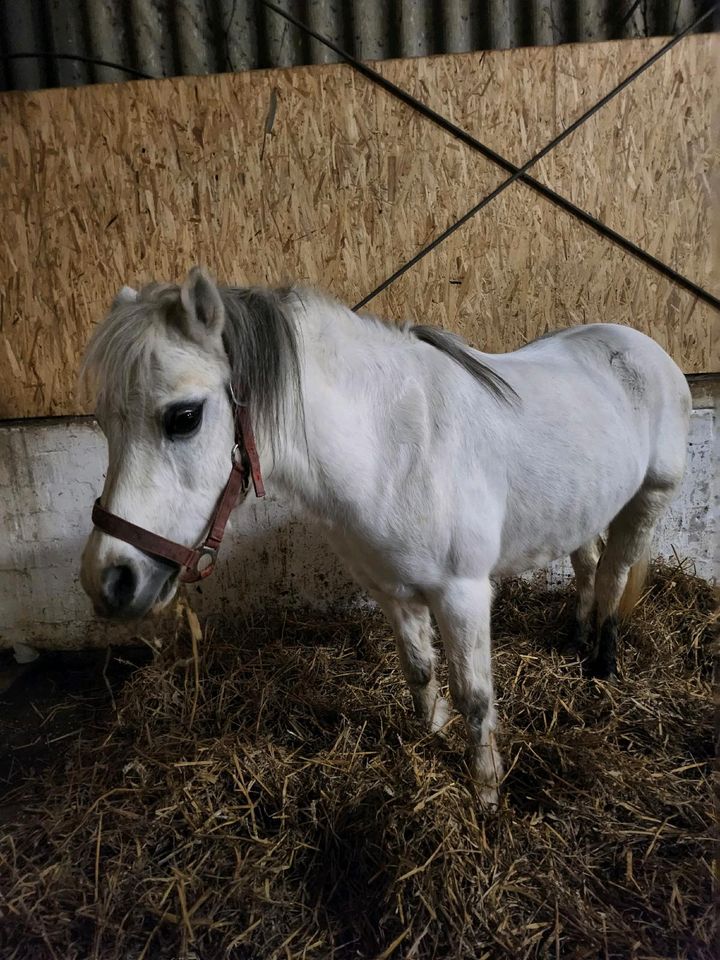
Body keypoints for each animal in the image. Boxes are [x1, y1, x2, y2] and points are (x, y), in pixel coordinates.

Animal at [80, 268, 692, 804]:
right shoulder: (392, 591)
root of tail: (645, 348)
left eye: (183, 417)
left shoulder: (463, 594)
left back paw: (602, 662)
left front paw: (487, 791)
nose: (108, 581)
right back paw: (577, 638)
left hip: (649, 499)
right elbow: (419, 669)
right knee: (589, 564)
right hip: (582, 508)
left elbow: (475, 698)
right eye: (104, 424)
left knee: (614, 574)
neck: (396, 448)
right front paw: (431, 734)